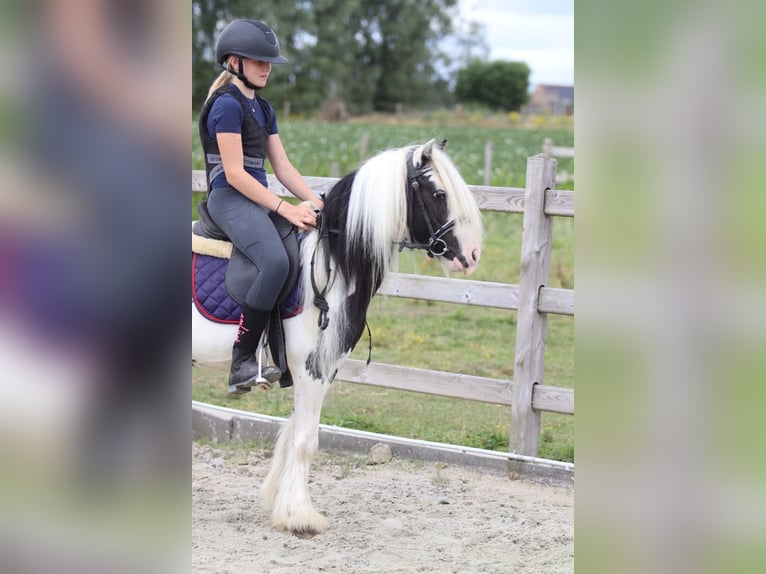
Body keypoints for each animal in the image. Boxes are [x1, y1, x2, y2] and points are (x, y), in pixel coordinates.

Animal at [192, 139, 483, 537]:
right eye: (439, 194)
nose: (472, 254)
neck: (333, 264)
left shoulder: (323, 370)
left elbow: (294, 433)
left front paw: (282, 505)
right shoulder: (310, 368)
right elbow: (305, 440)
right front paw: (300, 516)